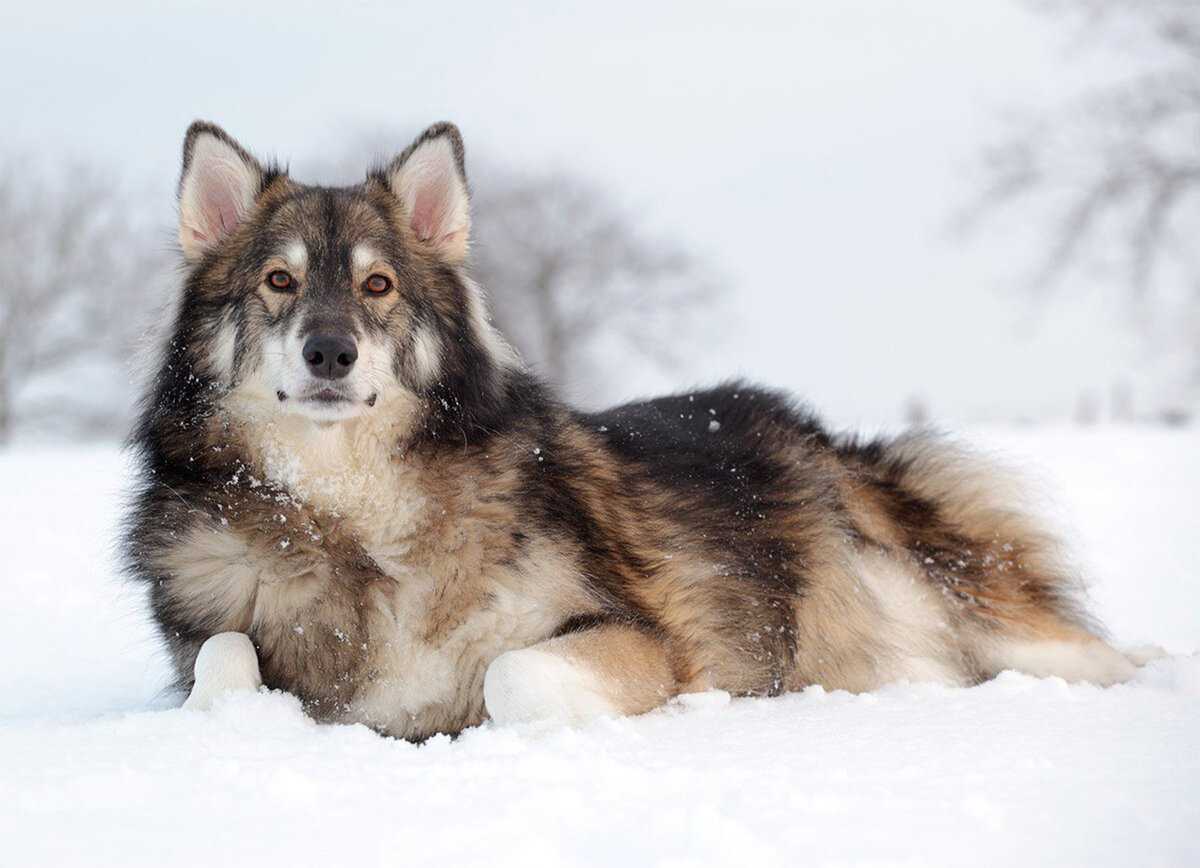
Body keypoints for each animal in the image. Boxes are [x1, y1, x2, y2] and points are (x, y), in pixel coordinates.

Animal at [126, 120, 1147, 739]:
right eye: (280, 281)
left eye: (377, 285)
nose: (330, 353)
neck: (351, 516)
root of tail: (821, 436)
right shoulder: (209, 640)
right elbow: (222, 664)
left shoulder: (639, 638)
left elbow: (510, 677)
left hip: (982, 619)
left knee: (1101, 653)